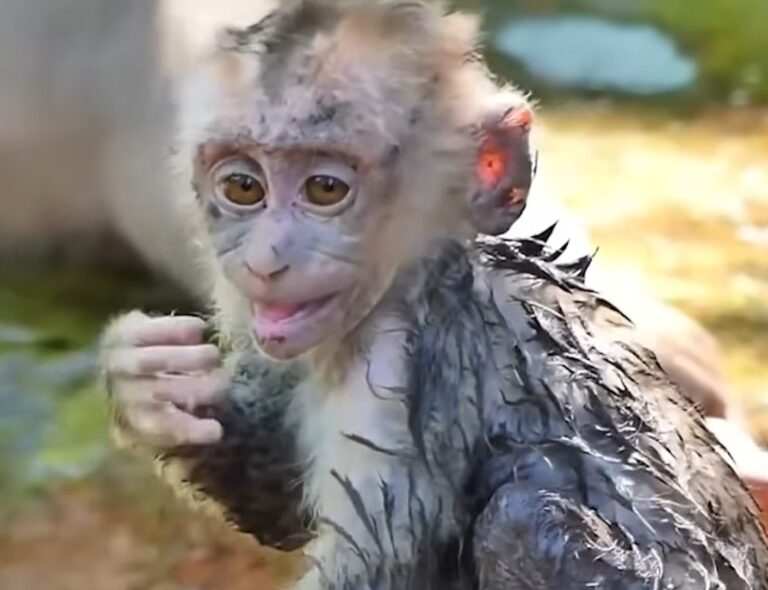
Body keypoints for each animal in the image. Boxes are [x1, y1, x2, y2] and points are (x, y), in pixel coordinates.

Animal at [100, 1, 768, 588]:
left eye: (324, 189)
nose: (266, 260)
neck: (415, 275)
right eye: (243, 186)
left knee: (519, 518)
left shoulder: (401, 366)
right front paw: (154, 386)